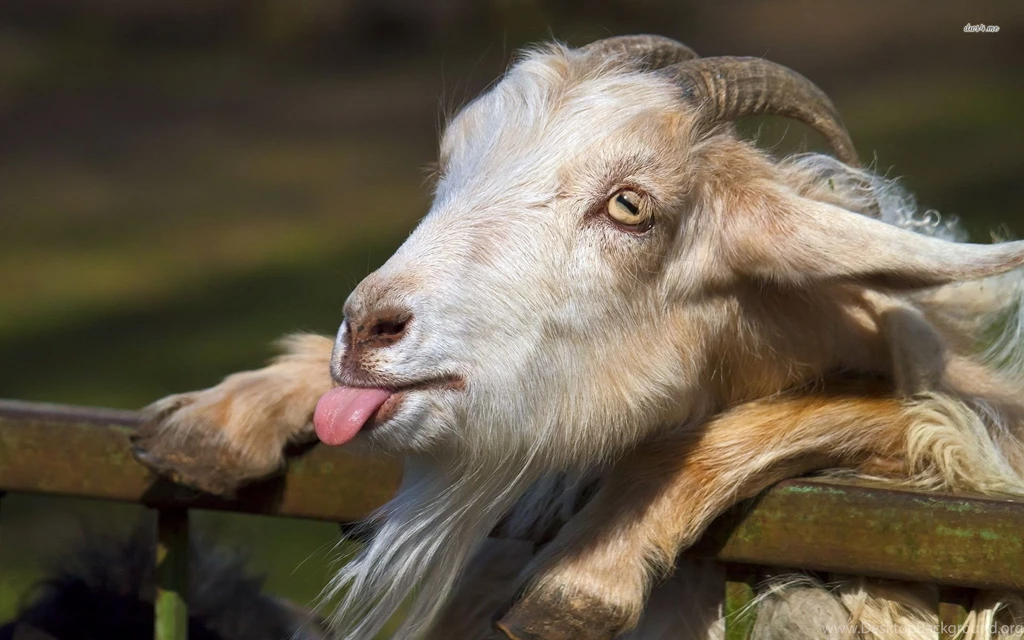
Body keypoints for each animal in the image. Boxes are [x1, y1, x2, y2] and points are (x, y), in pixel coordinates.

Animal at [131, 35, 1024, 639]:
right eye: (449, 173)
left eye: (630, 205)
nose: (367, 329)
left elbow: (879, 411)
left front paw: (582, 577)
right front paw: (217, 420)